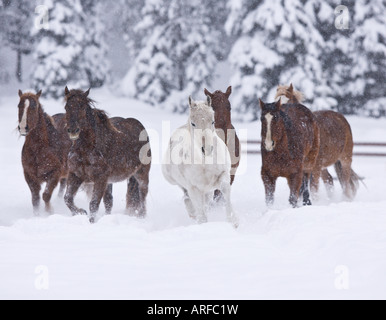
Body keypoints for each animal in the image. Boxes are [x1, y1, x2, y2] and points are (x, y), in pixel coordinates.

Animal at [63, 87, 151, 222]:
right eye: (67, 107)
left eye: (82, 106)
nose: (73, 130)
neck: (86, 149)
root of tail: (140, 126)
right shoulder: (75, 175)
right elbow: (68, 199)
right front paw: (81, 212)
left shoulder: (100, 178)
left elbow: (93, 204)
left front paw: (90, 221)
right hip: (111, 181)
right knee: (109, 201)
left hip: (142, 174)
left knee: (142, 196)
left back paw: (141, 217)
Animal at [161, 96, 238, 226]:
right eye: (193, 123)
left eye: (212, 121)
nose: (206, 149)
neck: (204, 163)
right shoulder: (194, 188)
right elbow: (201, 216)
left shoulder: (223, 175)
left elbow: (224, 191)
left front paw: (233, 222)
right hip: (181, 184)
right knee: (188, 199)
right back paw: (191, 212)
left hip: (206, 191)